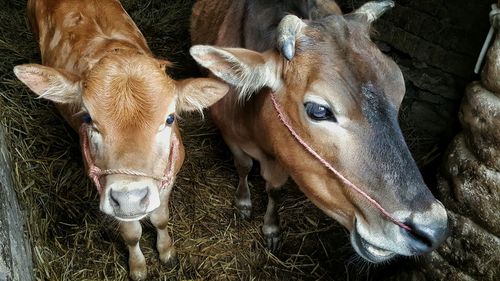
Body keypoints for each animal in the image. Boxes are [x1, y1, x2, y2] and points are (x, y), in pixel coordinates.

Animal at [14, 1, 229, 278]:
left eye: (170, 118)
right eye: (87, 118)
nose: (130, 199)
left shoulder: (169, 177)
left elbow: (160, 218)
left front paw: (166, 251)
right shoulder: (105, 187)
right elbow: (131, 234)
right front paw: (138, 266)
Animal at [191, 0, 450, 262]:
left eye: (401, 90)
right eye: (318, 110)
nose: (433, 228)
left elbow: (274, 188)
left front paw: (272, 228)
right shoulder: (230, 135)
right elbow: (243, 166)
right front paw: (243, 203)